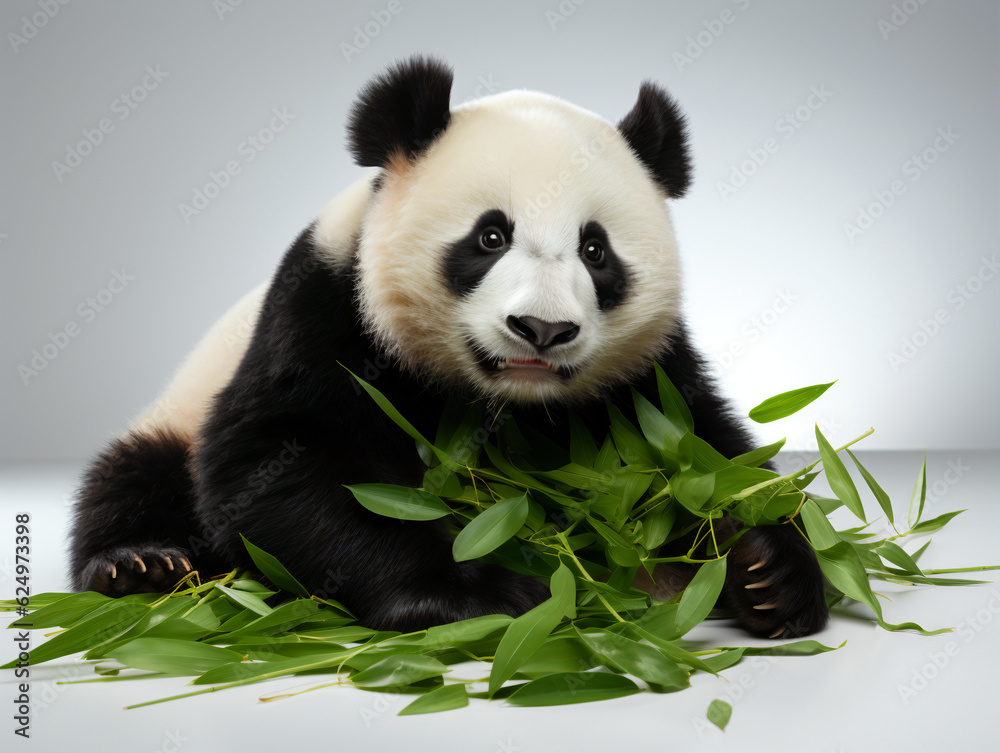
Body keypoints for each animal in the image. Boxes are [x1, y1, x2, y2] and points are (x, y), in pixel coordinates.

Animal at [69, 56, 827, 639]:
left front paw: (767, 568)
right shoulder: (327, 309)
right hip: (177, 412)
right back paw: (140, 566)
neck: (505, 404)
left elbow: (707, 448)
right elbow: (280, 464)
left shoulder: (646, 374)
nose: (542, 329)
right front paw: (482, 595)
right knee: (135, 476)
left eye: (595, 250)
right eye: (490, 236)